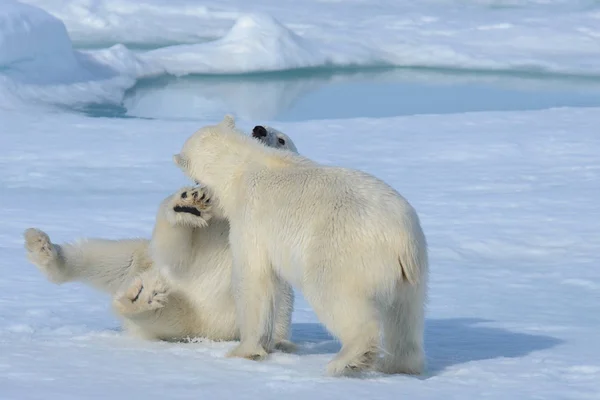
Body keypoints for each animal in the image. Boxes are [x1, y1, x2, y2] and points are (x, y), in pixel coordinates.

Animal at [23, 123, 298, 352]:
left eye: (282, 139)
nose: (258, 129)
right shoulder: (207, 231)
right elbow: (176, 255)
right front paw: (187, 205)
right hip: (146, 264)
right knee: (112, 258)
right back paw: (42, 247)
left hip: (187, 318)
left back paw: (140, 300)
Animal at [171, 116, 428, 378]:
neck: (241, 166)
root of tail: (401, 237)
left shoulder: (251, 220)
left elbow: (254, 279)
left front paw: (244, 351)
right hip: (412, 272)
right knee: (405, 316)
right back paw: (398, 366)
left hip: (342, 252)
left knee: (336, 297)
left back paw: (346, 361)